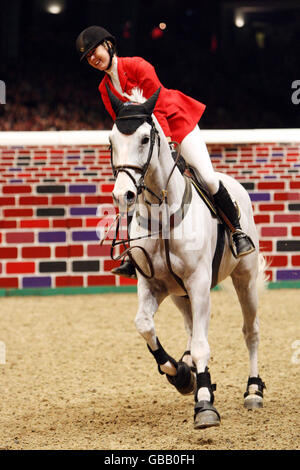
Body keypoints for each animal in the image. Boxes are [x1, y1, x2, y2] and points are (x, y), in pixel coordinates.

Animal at [105, 86, 264, 428]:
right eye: (111, 140)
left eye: (144, 139)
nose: (123, 195)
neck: (162, 215)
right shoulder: (152, 285)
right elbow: (145, 325)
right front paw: (181, 375)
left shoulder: (200, 283)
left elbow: (204, 345)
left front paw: (204, 405)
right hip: (180, 295)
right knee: (192, 330)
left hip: (244, 279)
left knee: (250, 331)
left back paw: (253, 391)